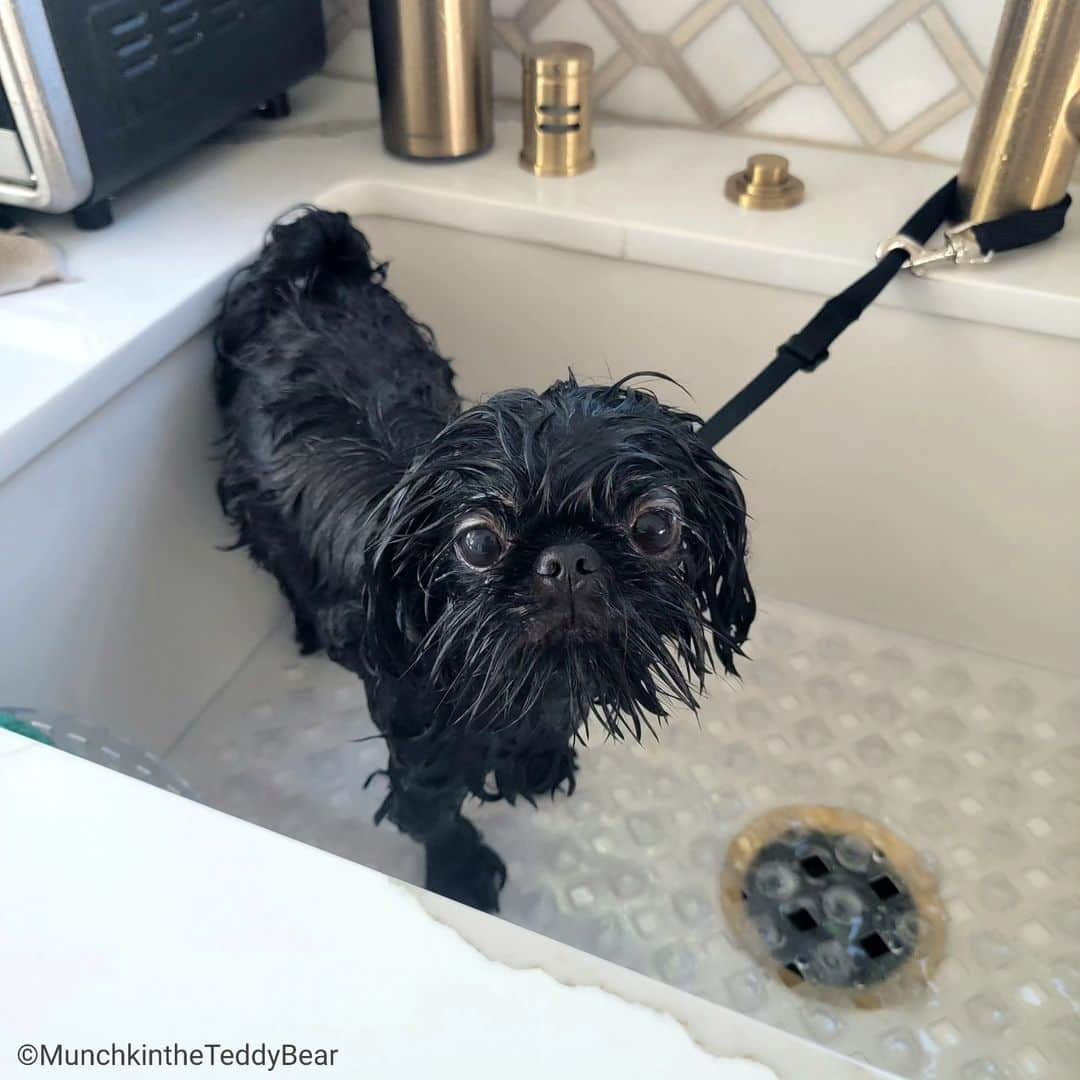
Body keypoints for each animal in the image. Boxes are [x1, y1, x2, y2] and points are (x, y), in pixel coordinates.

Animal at [214, 208, 756, 911]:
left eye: (656, 526)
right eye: (476, 542)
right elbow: (431, 811)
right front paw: (460, 874)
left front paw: (539, 761)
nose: (569, 559)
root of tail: (313, 276)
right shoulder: (422, 747)